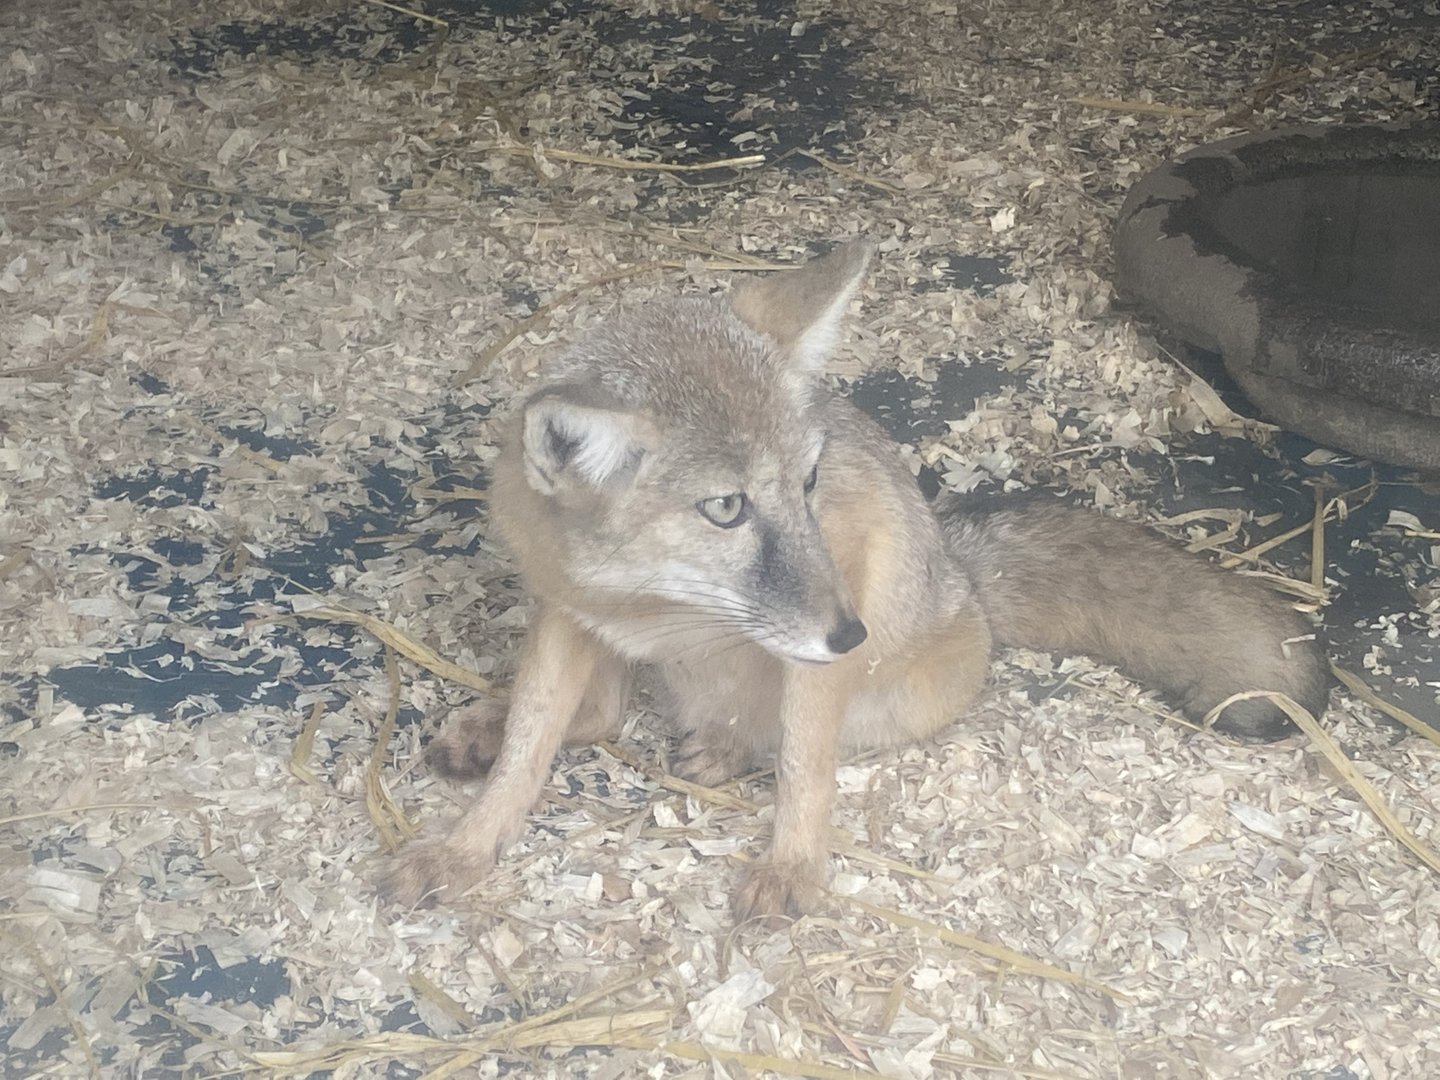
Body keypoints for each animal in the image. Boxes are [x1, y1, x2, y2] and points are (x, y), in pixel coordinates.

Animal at [382, 239, 1329, 919]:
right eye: (726, 508)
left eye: (808, 482)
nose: (850, 636)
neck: (654, 602)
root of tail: (963, 574)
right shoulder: (566, 609)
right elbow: (532, 743)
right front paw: (469, 844)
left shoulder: (845, 571)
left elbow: (805, 763)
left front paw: (794, 866)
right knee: (603, 714)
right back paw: (487, 728)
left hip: (881, 692)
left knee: (768, 736)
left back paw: (723, 746)